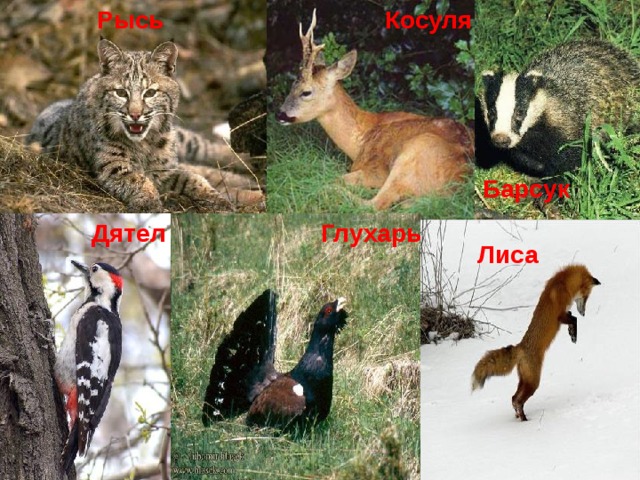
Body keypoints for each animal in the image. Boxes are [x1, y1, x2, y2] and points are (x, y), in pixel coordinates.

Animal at [471, 264, 601, 421]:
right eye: (586, 296)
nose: (584, 313)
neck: (563, 283)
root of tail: (520, 348)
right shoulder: (560, 316)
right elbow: (574, 319)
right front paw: (574, 335)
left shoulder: (565, 314)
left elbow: (572, 318)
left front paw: (571, 333)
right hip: (533, 382)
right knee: (518, 400)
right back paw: (525, 420)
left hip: (524, 381)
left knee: (513, 398)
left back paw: (519, 416)